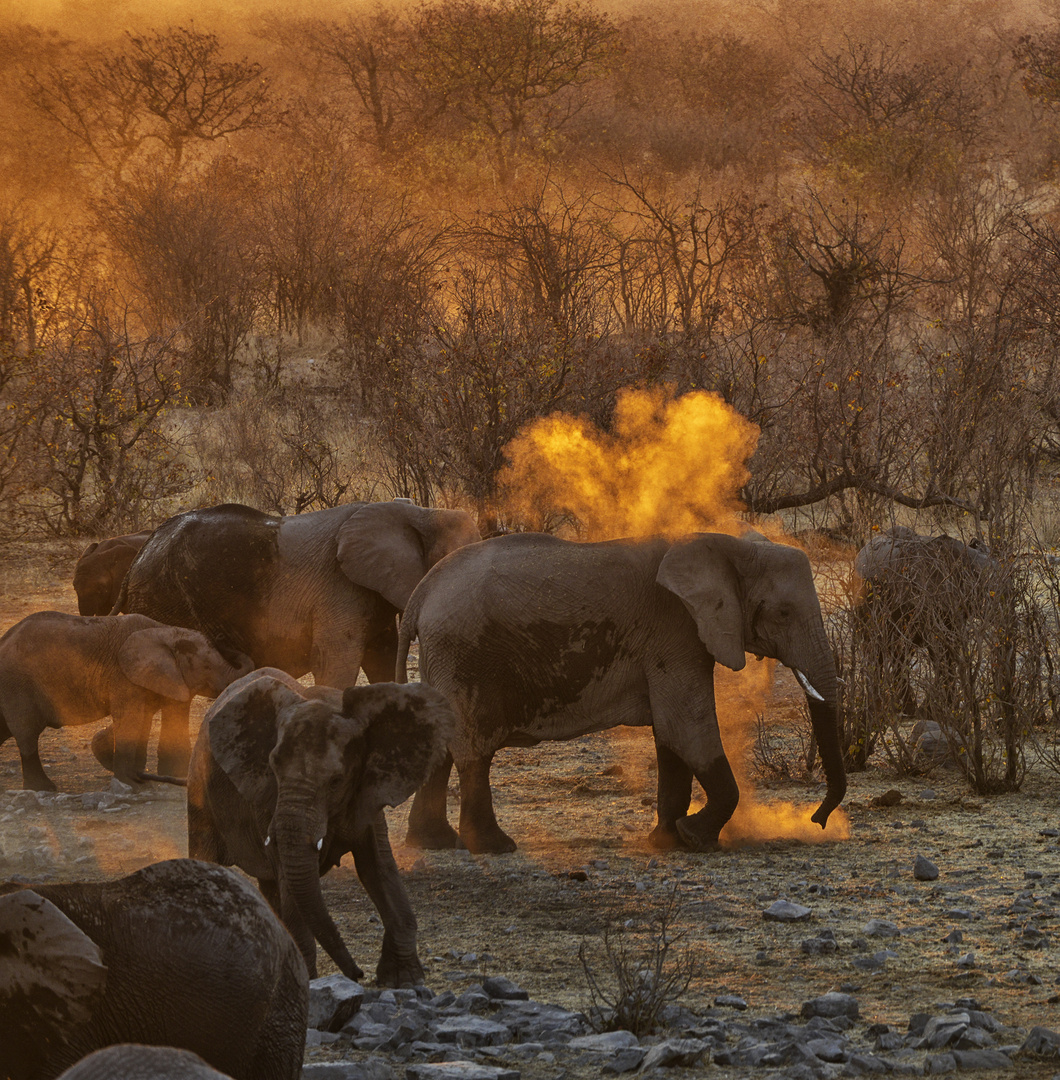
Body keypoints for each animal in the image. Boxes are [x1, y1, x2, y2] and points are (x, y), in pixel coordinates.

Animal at [0, 613, 251, 790]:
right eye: (207, 667)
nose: (221, 636)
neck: (166, 631)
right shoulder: (123, 675)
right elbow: (131, 718)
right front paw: (132, 784)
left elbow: (151, 717)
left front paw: (148, 776)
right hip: (17, 684)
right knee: (27, 733)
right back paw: (44, 789)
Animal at [115, 496, 479, 682]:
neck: (420, 512)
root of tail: (138, 558)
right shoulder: (340, 588)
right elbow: (335, 661)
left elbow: (381, 659)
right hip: (164, 597)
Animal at [188, 669, 453, 989]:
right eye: (273, 768)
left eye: (336, 780)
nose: (357, 974)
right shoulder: (269, 798)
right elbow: (292, 880)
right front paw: (308, 983)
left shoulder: (368, 789)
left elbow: (378, 868)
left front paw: (404, 979)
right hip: (199, 790)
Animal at [397, 529, 842, 851]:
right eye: (783, 613)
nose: (817, 820)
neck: (732, 544)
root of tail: (420, 593)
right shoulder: (674, 631)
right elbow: (687, 729)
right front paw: (695, 837)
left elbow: (670, 737)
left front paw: (667, 842)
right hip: (465, 654)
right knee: (474, 749)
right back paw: (494, 846)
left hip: (445, 656)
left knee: (443, 747)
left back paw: (433, 843)